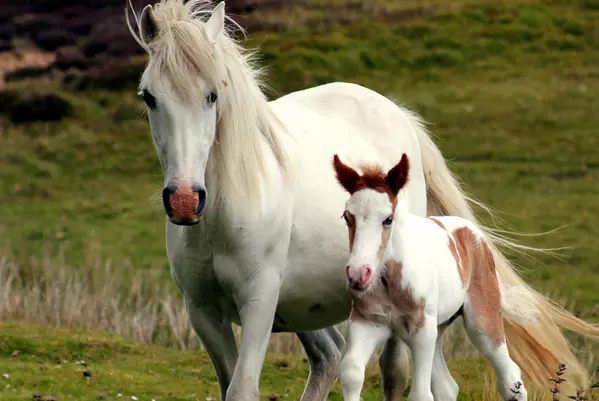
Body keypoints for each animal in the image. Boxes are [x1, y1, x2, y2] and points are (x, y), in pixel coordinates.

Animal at [332, 154, 536, 401]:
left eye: (388, 219)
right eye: (347, 217)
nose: (358, 275)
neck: (391, 280)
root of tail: (474, 234)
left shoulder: (422, 329)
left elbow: (420, 394)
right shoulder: (367, 321)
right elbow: (352, 373)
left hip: (481, 321)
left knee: (510, 377)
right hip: (438, 329)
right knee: (447, 387)